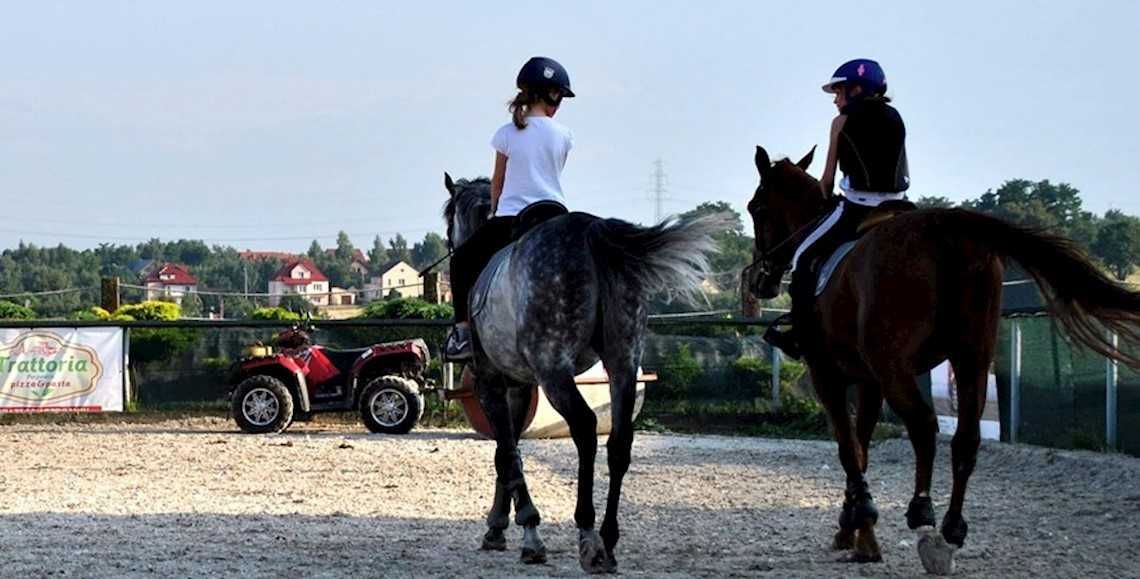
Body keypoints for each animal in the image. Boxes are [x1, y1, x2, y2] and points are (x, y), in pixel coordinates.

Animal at [442, 174, 720, 572]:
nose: (450, 245)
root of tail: (590, 231)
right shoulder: (518, 388)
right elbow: (508, 452)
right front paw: (498, 526)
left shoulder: (490, 383)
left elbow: (507, 452)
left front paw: (526, 530)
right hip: (623, 362)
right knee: (619, 440)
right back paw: (608, 539)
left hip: (554, 371)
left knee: (586, 428)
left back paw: (588, 536)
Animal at [743, 145, 1140, 574]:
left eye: (756, 208)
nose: (759, 281)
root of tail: (945, 226)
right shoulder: (868, 381)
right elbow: (862, 446)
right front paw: (855, 528)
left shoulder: (828, 375)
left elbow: (849, 448)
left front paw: (860, 524)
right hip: (971, 361)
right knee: (965, 439)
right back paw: (951, 528)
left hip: (897, 367)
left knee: (923, 425)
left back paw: (922, 515)